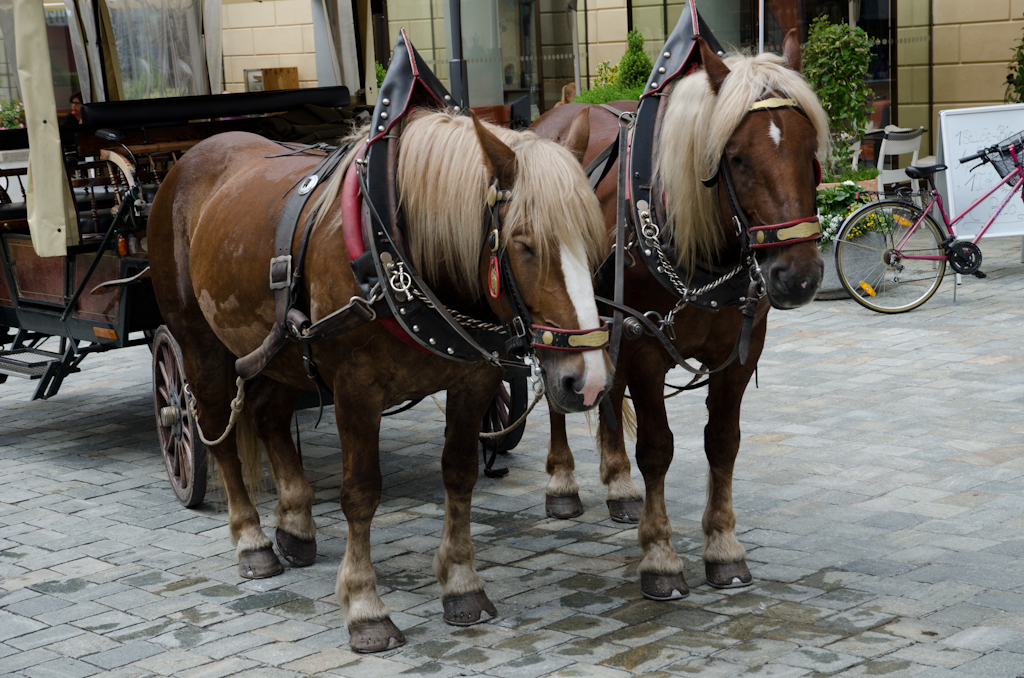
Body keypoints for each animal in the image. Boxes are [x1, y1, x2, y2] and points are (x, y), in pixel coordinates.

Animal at [148, 100, 610, 655]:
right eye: (524, 245)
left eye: (596, 241)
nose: (587, 380)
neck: (393, 250)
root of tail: (191, 158)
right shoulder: (355, 389)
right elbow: (361, 493)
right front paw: (365, 606)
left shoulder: (475, 377)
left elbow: (460, 474)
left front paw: (461, 583)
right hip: (199, 344)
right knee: (217, 428)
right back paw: (250, 539)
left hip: (281, 349)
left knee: (267, 416)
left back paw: (295, 523)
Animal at [532, 26, 827, 602]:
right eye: (735, 157)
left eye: (810, 150)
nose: (798, 276)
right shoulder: (645, 347)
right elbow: (658, 449)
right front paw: (661, 557)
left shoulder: (739, 353)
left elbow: (723, 442)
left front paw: (723, 547)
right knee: (559, 394)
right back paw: (562, 481)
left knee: (605, 391)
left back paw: (619, 484)